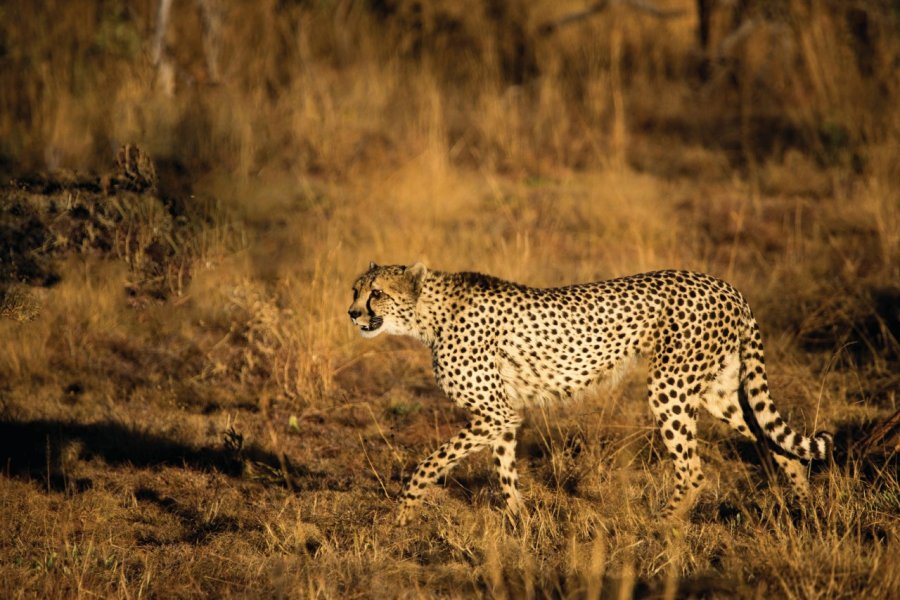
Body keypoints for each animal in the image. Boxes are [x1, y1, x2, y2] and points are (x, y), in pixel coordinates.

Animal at [348, 260, 832, 524]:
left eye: (377, 293)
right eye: (355, 290)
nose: (352, 314)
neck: (428, 315)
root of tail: (725, 285)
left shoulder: (495, 412)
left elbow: (429, 463)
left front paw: (402, 515)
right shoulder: (503, 414)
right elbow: (504, 470)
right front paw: (520, 521)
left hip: (670, 387)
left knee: (694, 471)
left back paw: (659, 526)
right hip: (717, 391)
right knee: (776, 441)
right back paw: (804, 507)